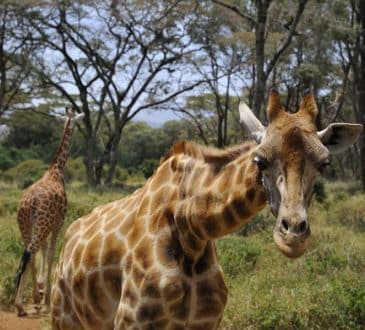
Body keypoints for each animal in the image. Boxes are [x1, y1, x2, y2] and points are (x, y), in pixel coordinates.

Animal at [14, 108, 84, 318]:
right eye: (77, 122)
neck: (56, 169)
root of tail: (29, 203)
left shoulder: (47, 225)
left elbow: (44, 251)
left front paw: (40, 290)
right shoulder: (58, 223)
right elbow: (52, 252)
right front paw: (46, 299)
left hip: (26, 226)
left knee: (29, 253)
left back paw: (28, 301)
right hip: (40, 225)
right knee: (29, 253)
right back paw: (20, 305)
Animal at [51, 90, 362, 330]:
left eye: (325, 163)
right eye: (260, 160)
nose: (293, 237)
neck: (191, 228)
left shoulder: (206, 321)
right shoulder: (132, 321)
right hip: (64, 316)